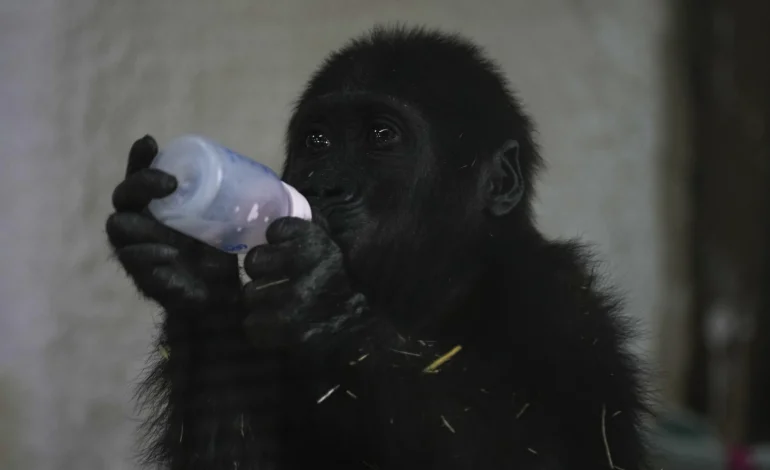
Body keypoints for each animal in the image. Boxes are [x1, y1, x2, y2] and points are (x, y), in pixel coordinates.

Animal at [106, 24, 648, 470]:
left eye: (381, 135)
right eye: (318, 141)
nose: (324, 187)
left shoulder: (562, 308)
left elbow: (553, 455)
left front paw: (327, 309)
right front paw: (193, 268)